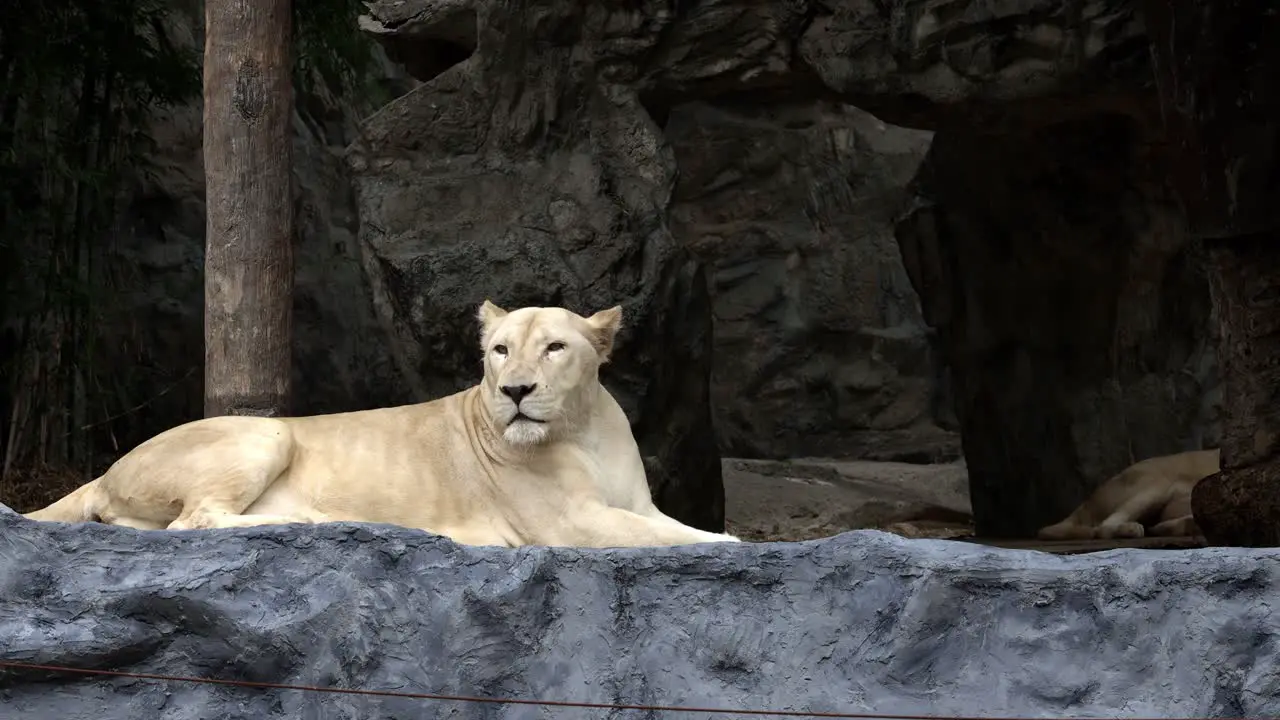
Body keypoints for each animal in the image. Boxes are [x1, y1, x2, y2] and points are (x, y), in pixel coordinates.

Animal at [22, 299, 742, 545]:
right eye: (500, 350)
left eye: (555, 348)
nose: (515, 390)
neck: (581, 427)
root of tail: (106, 472)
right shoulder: (571, 524)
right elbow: (678, 539)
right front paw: (734, 546)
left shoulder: (635, 505)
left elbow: (671, 525)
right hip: (266, 430)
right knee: (192, 523)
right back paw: (310, 522)